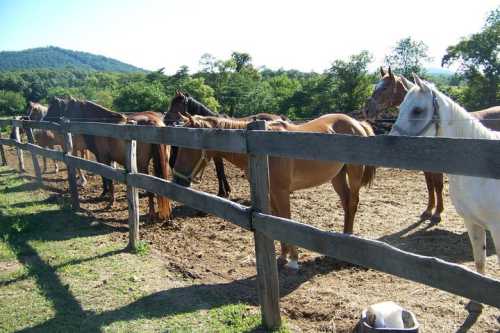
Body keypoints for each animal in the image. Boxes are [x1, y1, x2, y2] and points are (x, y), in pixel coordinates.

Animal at [45, 96, 174, 220]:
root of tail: (152, 121)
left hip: (142, 165)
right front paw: (105, 194)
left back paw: (151, 213)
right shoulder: (109, 160)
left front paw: (109, 200)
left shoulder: (103, 158)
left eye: (53, 107)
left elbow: (107, 179)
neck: (102, 125)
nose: (43, 120)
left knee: (150, 190)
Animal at [364, 67, 500, 223]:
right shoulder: (426, 168)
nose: (367, 110)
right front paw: (428, 210)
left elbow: (438, 186)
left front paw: (437, 213)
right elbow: (430, 186)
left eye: (385, 87)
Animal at [390, 73, 500, 308]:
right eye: (400, 106)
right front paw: (477, 302)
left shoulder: (497, 228)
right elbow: (479, 261)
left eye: (417, 110)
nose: (391, 140)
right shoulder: (473, 222)